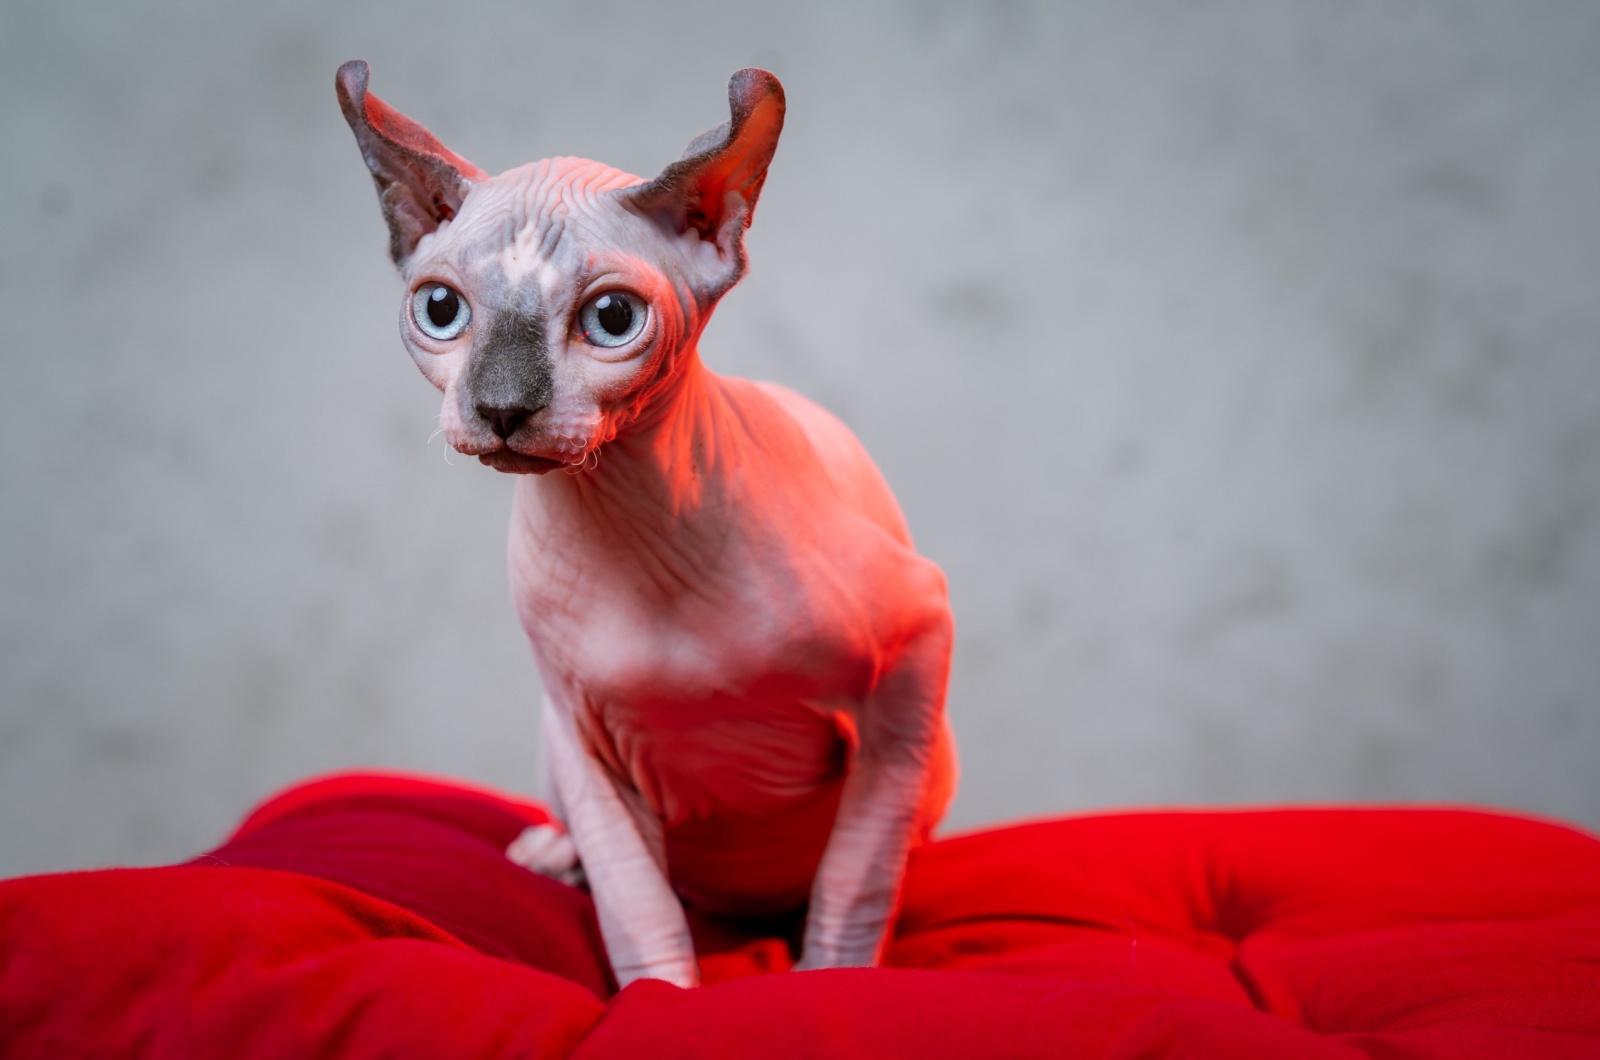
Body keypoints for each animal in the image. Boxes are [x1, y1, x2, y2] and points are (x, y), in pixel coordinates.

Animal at [337, 60, 953, 986]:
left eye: (613, 320)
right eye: (441, 310)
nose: (503, 407)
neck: (627, 518)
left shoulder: (913, 654)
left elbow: (854, 883)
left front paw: (829, 981)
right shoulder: (582, 736)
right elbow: (638, 904)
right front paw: (661, 993)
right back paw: (552, 855)